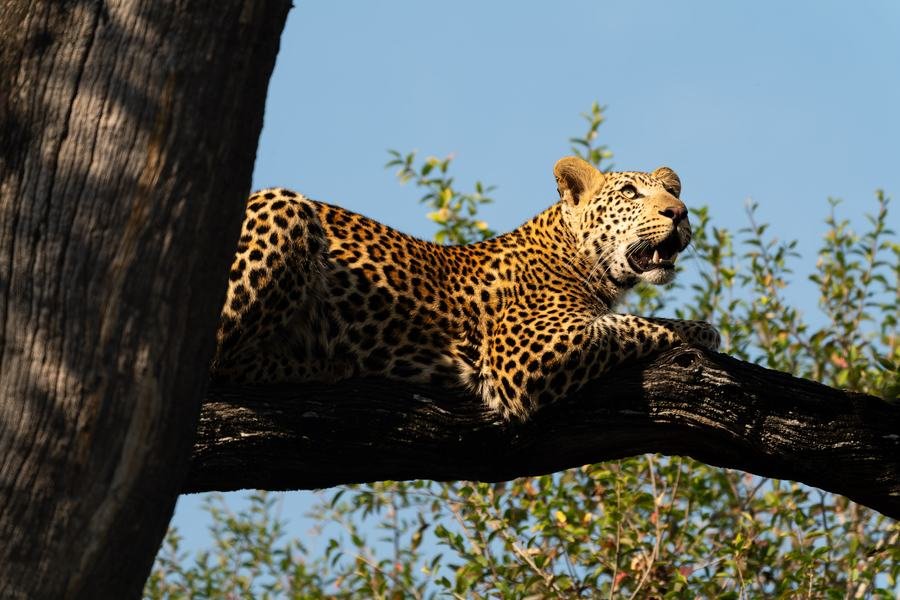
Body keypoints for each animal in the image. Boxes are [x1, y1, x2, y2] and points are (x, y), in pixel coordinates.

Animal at [211, 155, 720, 420]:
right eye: (631, 193)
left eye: (673, 194)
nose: (679, 212)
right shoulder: (527, 351)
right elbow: (630, 324)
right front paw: (699, 332)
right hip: (285, 204)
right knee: (222, 361)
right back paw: (324, 364)